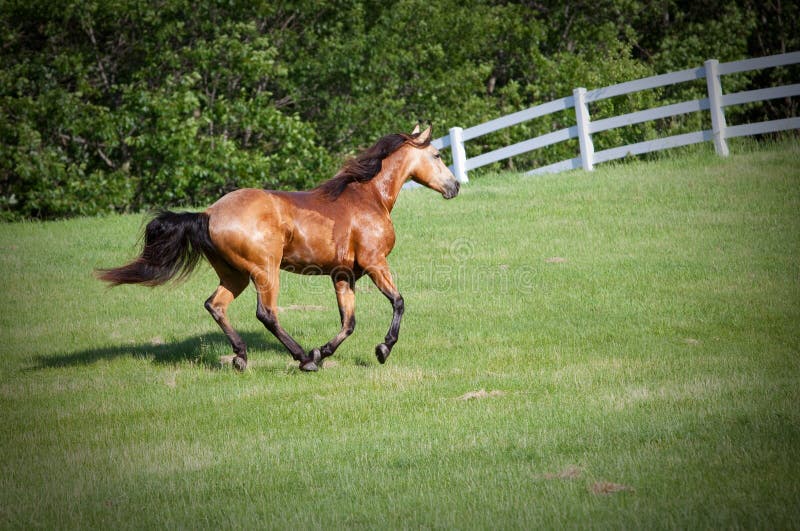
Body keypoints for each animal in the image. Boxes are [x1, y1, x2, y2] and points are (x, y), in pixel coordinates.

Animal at [96, 125, 460, 371]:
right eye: (437, 155)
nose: (454, 186)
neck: (367, 198)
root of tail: (209, 213)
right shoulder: (375, 263)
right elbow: (398, 302)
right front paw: (382, 349)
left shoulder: (343, 274)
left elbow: (348, 322)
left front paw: (323, 352)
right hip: (265, 270)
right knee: (266, 313)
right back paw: (301, 358)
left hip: (235, 275)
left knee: (215, 305)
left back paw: (242, 357)